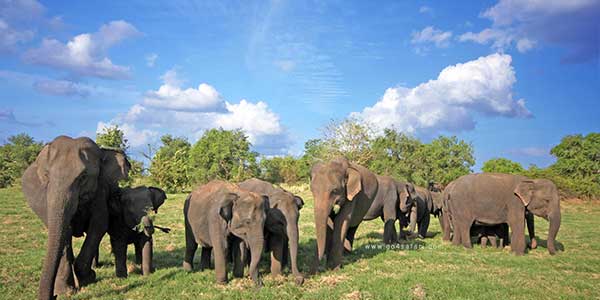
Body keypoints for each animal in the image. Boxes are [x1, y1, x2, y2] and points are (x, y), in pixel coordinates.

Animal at [21, 137, 129, 300]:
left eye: (83, 177)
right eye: (46, 176)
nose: (53, 296)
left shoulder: (100, 189)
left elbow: (98, 225)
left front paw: (88, 278)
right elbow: (64, 232)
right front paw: (65, 291)